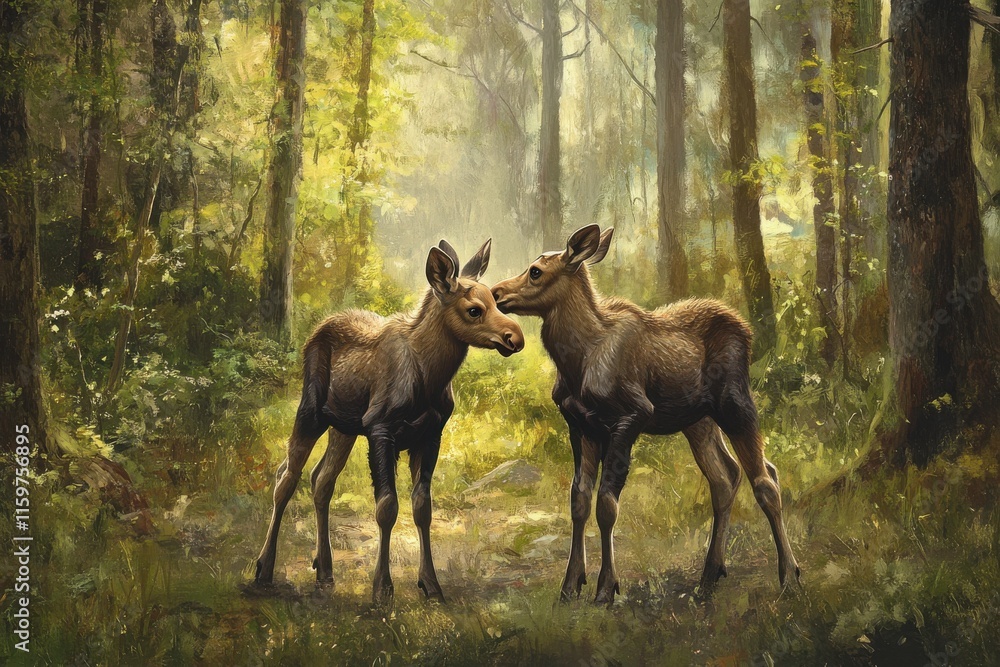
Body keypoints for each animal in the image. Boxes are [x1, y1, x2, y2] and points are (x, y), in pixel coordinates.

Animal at [254, 238, 524, 607]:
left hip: (344, 427)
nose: (515, 337)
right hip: (311, 412)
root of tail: (318, 328)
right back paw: (264, 568)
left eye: (496, 300)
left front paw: (431, 585)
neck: (430, 377)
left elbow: (422, 507)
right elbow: (387, 507)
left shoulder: (430, 435)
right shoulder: (381, 429)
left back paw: (324, 570)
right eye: (474, 309)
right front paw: (382, 588)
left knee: (321, 479)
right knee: (286, 477)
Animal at [491, 225, 799, 605]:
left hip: (735, 402)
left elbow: (607, 504)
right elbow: (579, 500)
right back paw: (709, 577)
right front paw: (570, 585)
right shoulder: (579, 425)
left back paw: (789, 576)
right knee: (727, 476)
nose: (496, 292)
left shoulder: (631, 416)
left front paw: (606, 588)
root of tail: (746, 328)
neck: (578, 361)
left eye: (536, 271)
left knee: (765, 479)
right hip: (698, 421)